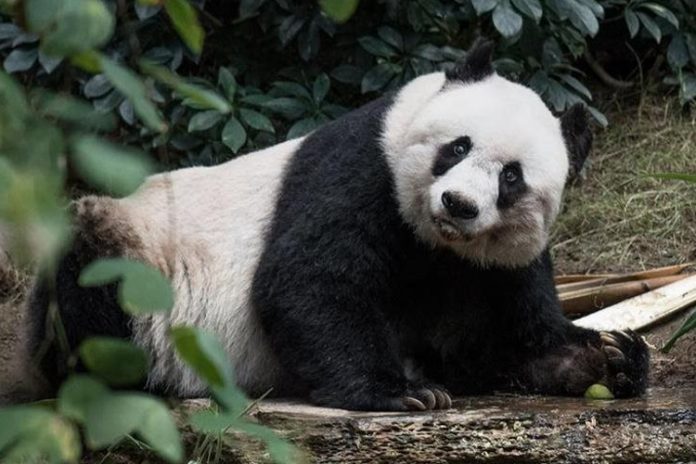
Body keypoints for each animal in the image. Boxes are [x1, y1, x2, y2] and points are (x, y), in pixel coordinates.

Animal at [29, 40, 649, 411]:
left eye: (512, 178)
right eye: (457, 147)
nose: (458, 204)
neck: (437, 243)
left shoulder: (495, 263)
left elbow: (505, 336)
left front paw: (610, 357)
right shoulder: (360, 170)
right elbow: (310, 280)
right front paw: (403, 393)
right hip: (138, 251)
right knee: (92, 280)